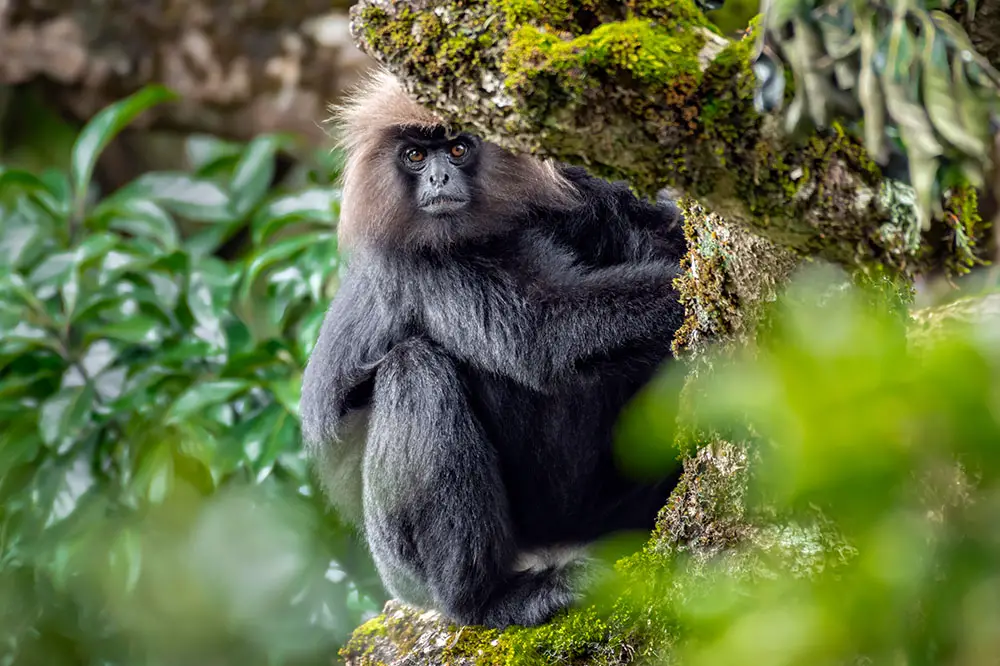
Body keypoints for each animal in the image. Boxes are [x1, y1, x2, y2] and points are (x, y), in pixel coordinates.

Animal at [296, 70, 688, 632]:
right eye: (415, 156)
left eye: (458, 148)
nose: (439, 180)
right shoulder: (421, 260)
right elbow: (545, 335)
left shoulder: (575, 187)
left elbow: (659, 231)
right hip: (406, 567)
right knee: (416, 368)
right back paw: (490, 599)